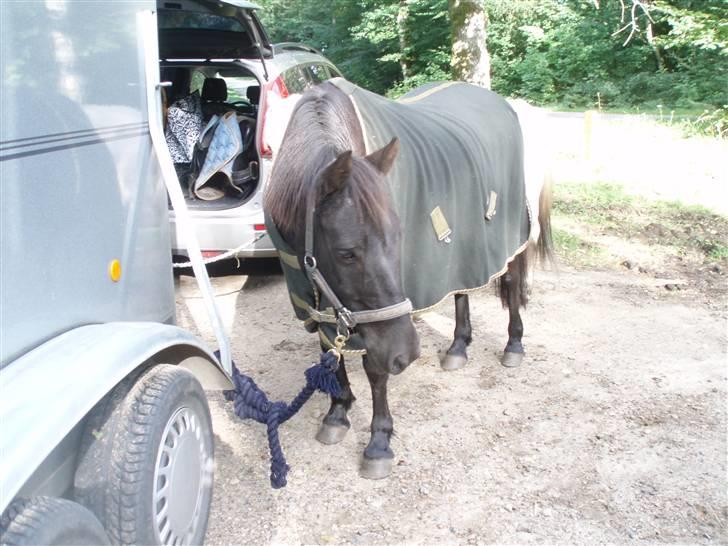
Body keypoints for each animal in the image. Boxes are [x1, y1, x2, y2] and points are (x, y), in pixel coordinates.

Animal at [264, 78, 553, 480]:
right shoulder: (316, 301)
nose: (408, 352)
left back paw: (513, 346)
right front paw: (337, 413)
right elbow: (330, 353)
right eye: (346, 252)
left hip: (513, 238)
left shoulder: (376, 326)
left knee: (511, 287)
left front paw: (379, 443)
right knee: (461, 289)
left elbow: (375, 371)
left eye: (399, 236)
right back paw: (458, 347)